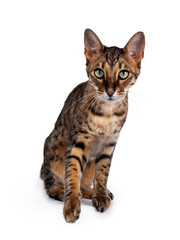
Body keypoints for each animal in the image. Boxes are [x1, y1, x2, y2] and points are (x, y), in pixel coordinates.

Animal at [40, 28, 145, 223]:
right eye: (99, 72)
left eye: (123, 74)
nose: (110, 91)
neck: (107, 115)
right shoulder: (77, 142)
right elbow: (72, 174)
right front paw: (71, 204)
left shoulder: (109, 144)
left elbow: (102, 173)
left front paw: (101, 195)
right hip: (53, 149)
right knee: (52, 185)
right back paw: (64, 193)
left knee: (85, 183)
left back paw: (94, 193)